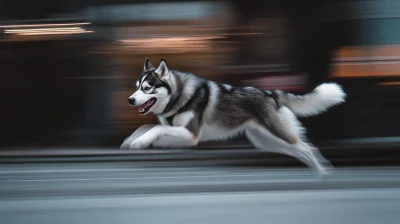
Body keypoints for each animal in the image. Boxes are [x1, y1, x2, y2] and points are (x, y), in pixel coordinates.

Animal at [120, 58, 346, 175]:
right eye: (137, 87)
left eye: (147, 88)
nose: (130, 100)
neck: (179, 96)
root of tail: (271, 94)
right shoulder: (178, 133)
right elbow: (146, 127)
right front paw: (132, 140)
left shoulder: (190, 134)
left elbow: (156, 127)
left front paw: (140, 142)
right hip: (268, 141)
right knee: (302, 150)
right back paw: (317, 172)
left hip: (278, 134)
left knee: (307, 148)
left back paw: (322, 172)